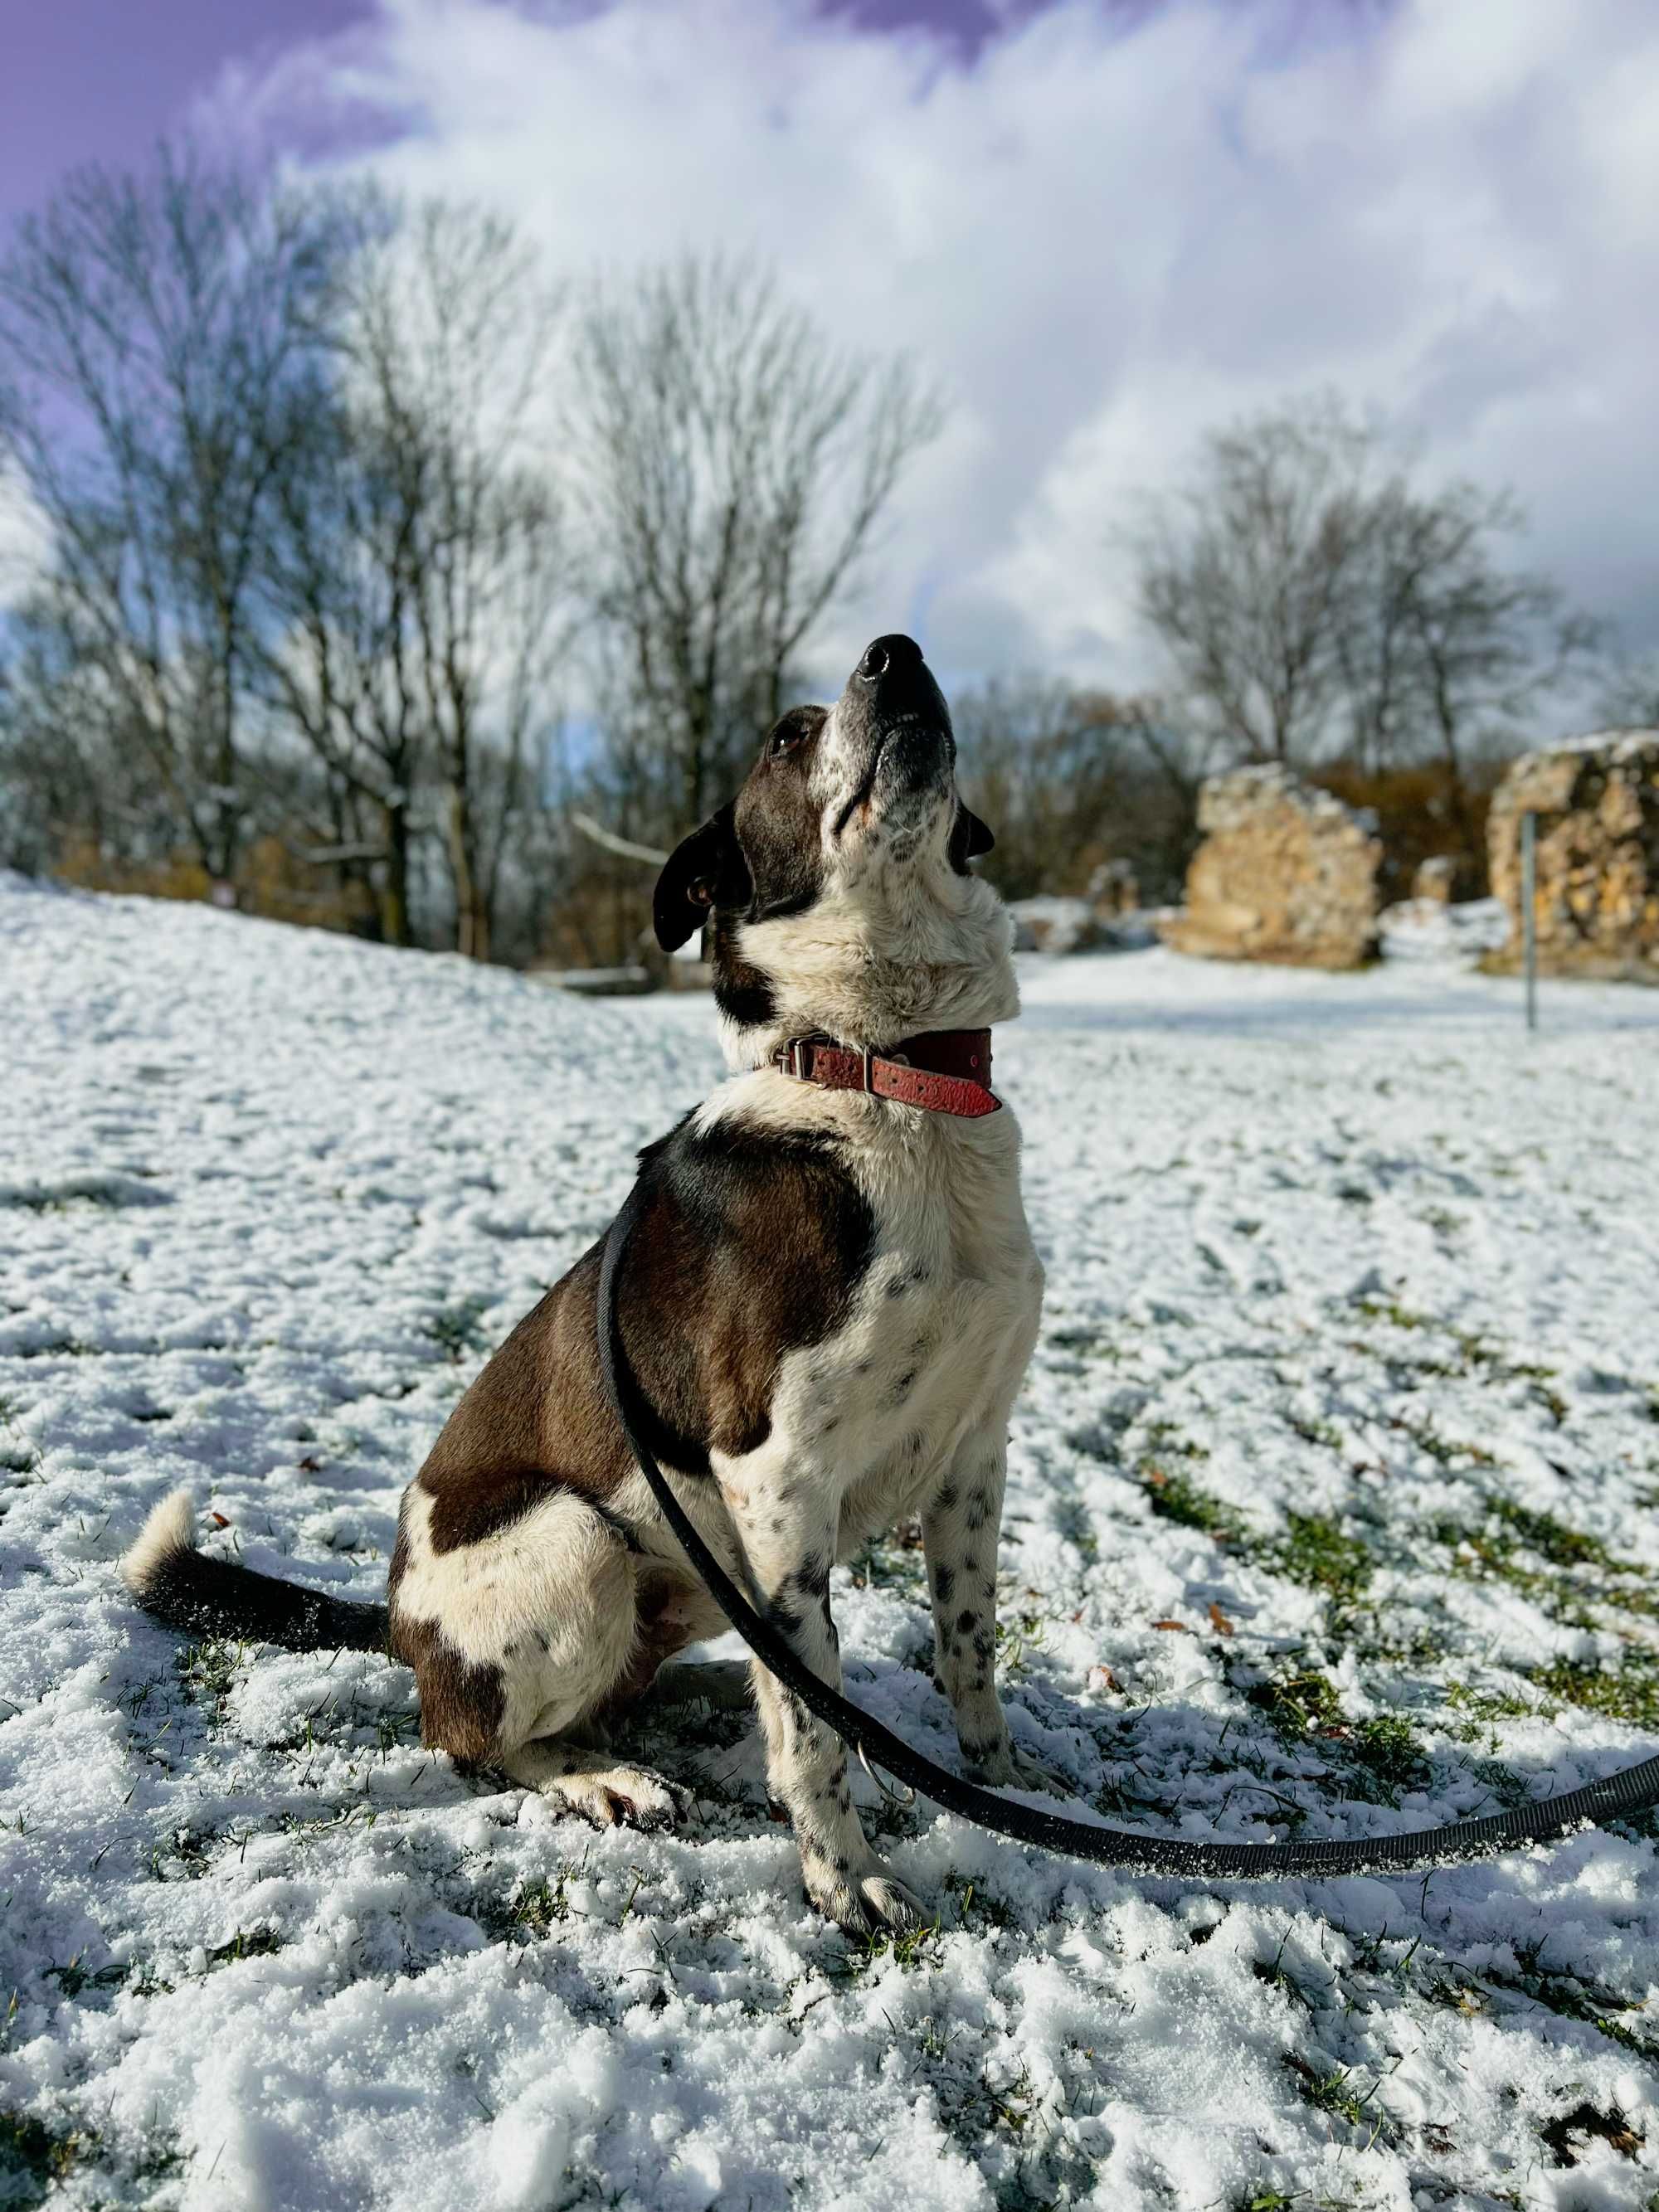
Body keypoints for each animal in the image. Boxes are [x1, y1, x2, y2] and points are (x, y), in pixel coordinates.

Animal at [133, 632, 1066, 1928]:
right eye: (785, 735)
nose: (899, 654)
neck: (882, 1077)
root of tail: (399, 1622)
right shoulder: (772, 1465)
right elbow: (812, 1730)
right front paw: (844, 1877)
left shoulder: (975, 1448)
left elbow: (965, 1642)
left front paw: (999, 1777)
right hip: (576, 1538)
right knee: (477, 1738)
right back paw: (600, 1775)